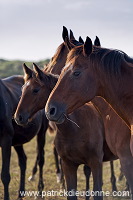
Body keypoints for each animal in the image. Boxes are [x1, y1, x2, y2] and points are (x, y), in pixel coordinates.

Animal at [14, 63, 118, 199]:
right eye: (22, 90)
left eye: (35, 90)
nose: (18, 117)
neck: (75, 127)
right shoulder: (68, 164)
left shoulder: (96, 162)